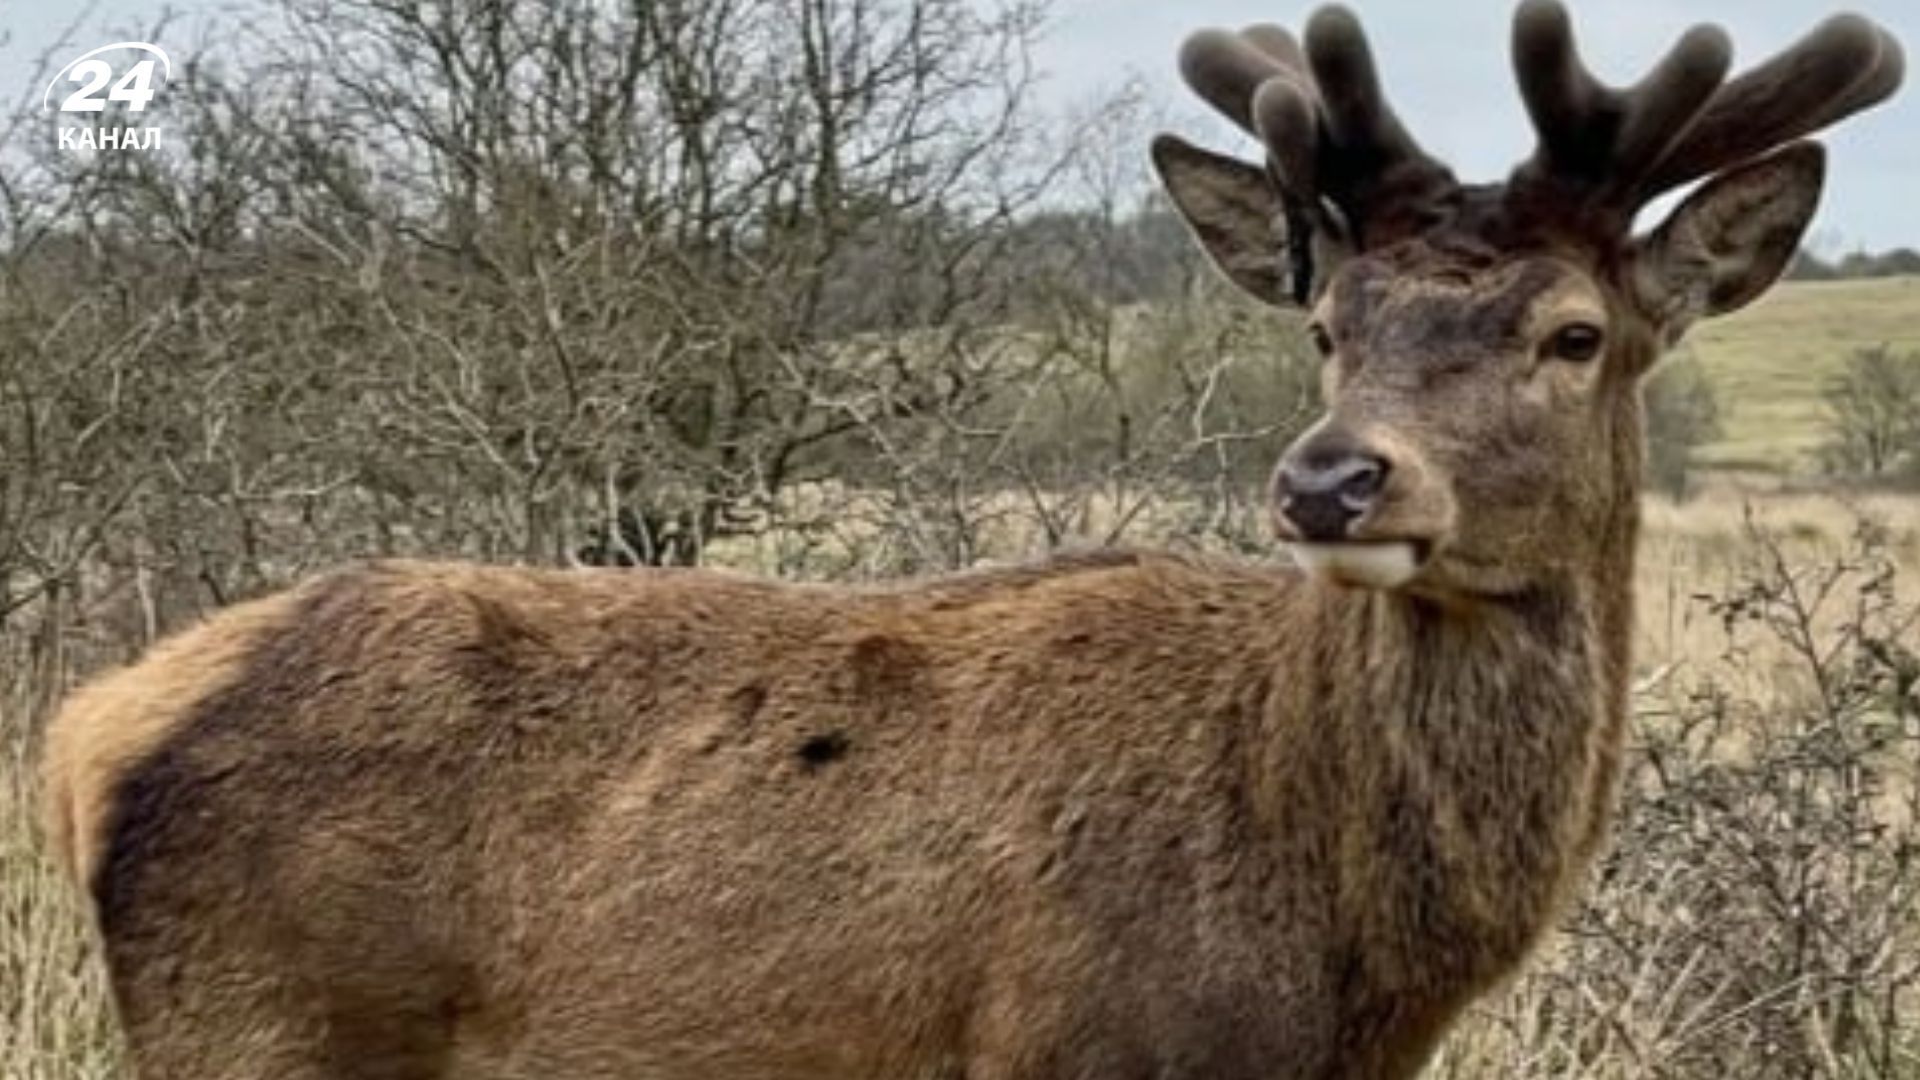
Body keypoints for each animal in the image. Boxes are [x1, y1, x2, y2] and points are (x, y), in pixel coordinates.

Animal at [40, 4, 1902, 1078]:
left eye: (1574, 332)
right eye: (1332, 322)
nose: (1329, 485)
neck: (1344, 973)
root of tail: (87, 732)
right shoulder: (1084, 1049)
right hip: (262, 1028)